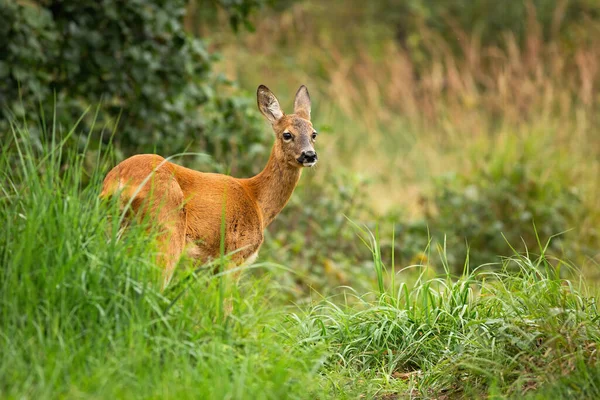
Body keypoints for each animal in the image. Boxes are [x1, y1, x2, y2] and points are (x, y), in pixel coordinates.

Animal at [99, 84, 318, 286]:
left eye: (314, 134)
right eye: (287, 134)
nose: (309, 155)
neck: (258, 202)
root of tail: (119, 181)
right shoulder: (234, 256)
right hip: (166, 229)